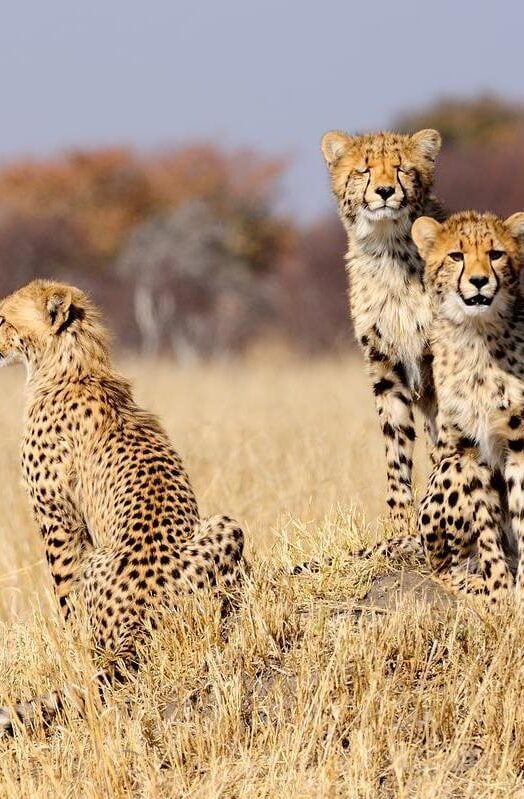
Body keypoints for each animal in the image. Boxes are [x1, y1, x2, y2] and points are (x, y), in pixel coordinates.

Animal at [0, 278, 245, 736]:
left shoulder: (58, 521)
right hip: (226, 525)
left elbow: (67, 601)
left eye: (3, 317)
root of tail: (143, 618)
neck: (71, 365)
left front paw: (73, 649)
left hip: (101, 557)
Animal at [322, 126, 444, 532]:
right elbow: (396, 449)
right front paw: (399, 521)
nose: (386, 191)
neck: (390, 251)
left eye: (402, 168)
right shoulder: (386, 368)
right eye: (364, 170)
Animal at [410, 209, 524, 604]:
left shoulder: (520, 441)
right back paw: (473, 582)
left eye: (495, 254)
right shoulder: (467, 450)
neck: (477, 336)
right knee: (444, 567)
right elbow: (486, 528)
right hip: (448, 469)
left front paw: (520, 590)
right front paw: (500, 591)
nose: (478, 282)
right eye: (456, 256)